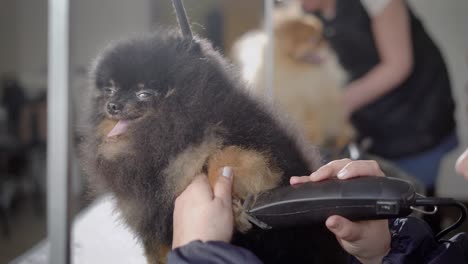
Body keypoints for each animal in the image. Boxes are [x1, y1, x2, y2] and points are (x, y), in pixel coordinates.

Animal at [79, 28, 348, 262]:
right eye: (110, 89)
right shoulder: (152, 227)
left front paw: (234, 206)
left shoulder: (254, 143)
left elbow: (224, 156)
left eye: (143, 93)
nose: (113, 105)